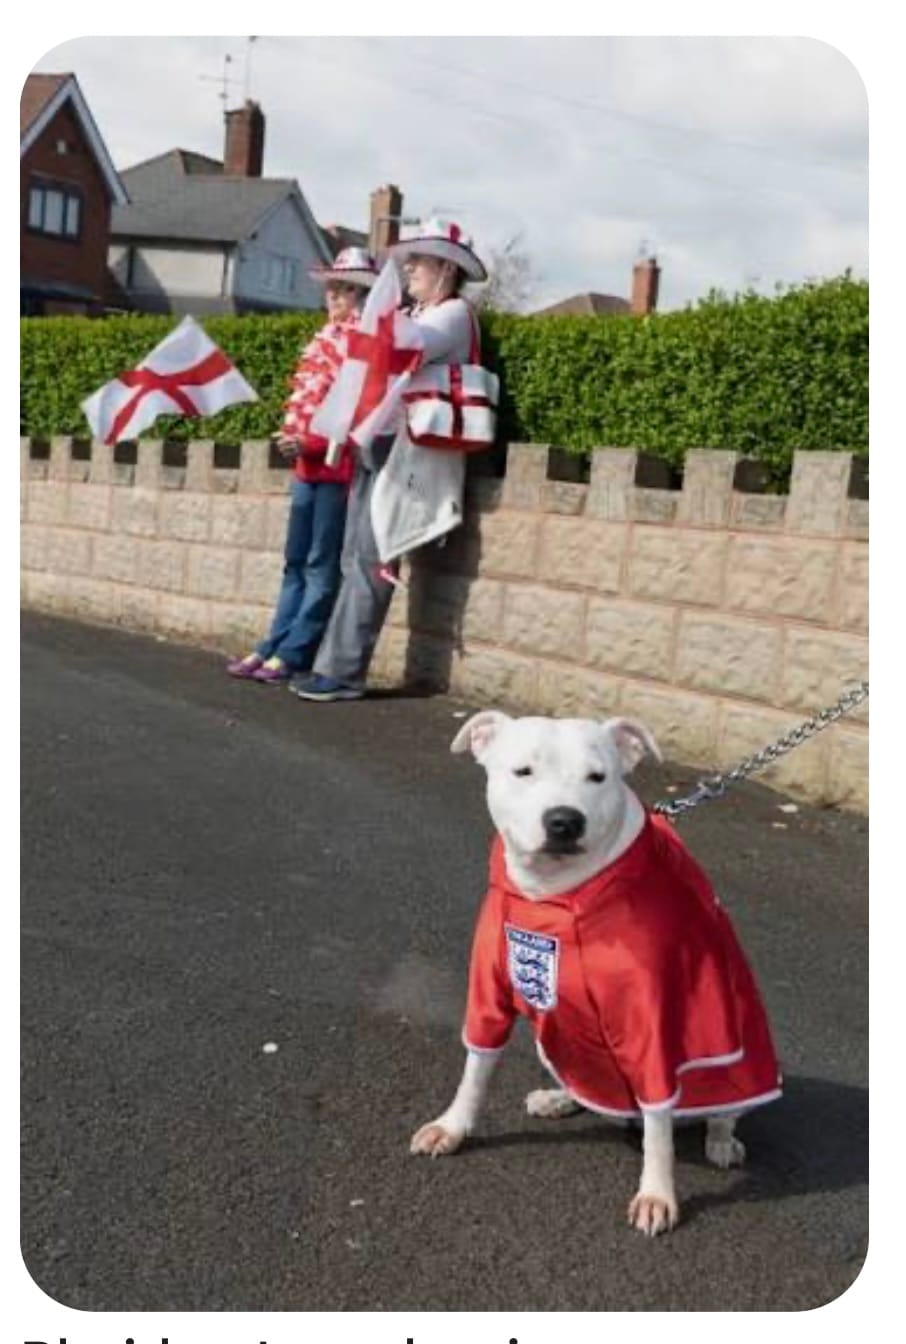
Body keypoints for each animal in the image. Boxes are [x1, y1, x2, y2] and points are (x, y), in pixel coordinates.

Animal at [410, 712, 782, 1236]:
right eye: (523, 771)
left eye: (597, 777)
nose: (564, 820)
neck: (556, 897)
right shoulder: (489, 994)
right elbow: (476, 1070)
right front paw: (452, 1127)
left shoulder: (654, 1026)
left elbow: (659, 1128)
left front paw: (657, 1195)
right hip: (557, 1043)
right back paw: (558, 1099)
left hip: (742, 1069)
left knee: (717, 1115)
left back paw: (721, 1140)